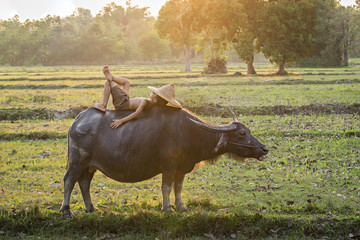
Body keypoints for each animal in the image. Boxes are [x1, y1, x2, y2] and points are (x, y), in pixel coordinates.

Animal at [59, 106, 268, 217]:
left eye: (248, 131)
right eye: (242, 134)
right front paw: (167, 208)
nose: (264, 149)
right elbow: (166, 187)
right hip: (77, 161)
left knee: (84, 182)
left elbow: (178, 188)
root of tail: (78, 119)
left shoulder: (181, 169)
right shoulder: (168, 167)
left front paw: (182, 206)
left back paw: (91, 208)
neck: (189, 133)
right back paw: (66, 210)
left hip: (90, 166)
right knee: (69, 180)